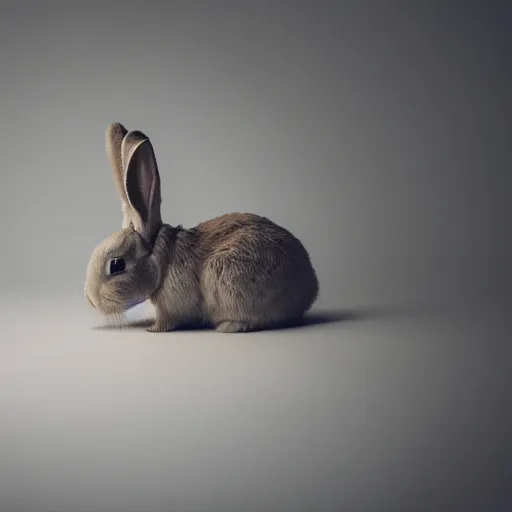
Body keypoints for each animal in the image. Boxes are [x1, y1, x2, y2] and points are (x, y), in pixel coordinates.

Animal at [84, 123, 318, 332]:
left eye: (117, 265)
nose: (91, 301)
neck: (161, 263)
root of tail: (310, 286)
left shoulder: (171, 308)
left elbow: (167, 322)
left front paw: (152, 329)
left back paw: (228, 327)